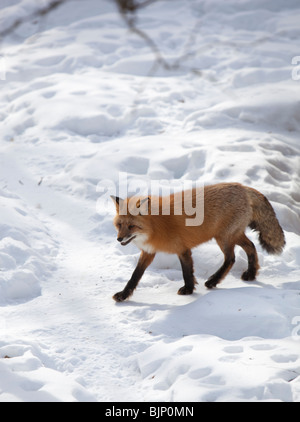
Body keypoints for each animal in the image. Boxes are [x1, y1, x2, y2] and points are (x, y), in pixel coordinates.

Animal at [110, 183, 286, 302]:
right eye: (119, 225)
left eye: (131, 226)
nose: (119, 239)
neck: (155, 225)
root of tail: (242, 186)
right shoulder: (148, 252)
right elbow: (135, 276)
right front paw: (124, 295)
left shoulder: (182, 249)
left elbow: (187, 271)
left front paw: (188, 289)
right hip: (232, 236)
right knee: (251, 247)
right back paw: (251, 274)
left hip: (224, 238)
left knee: (231, 258)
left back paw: (213, 281)